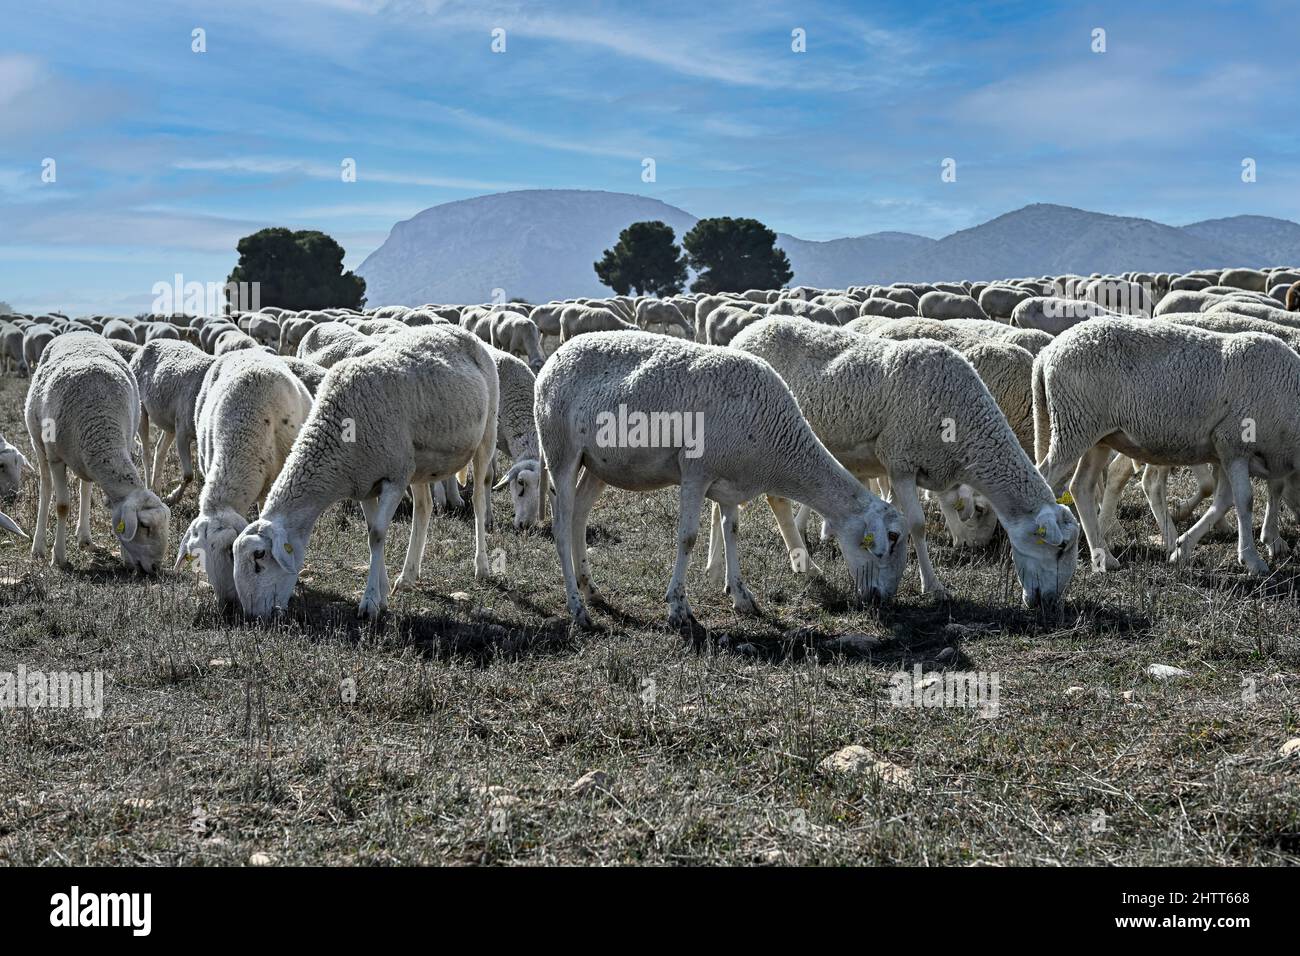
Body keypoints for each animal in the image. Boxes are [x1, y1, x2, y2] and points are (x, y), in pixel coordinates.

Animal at [23, 332, 170, 572]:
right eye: (144, 526)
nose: (156, 569)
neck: (102, 424)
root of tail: (77, 332)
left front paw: (126, 558)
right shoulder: (56, 458)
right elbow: (62, 506)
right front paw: (59, 557)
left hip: (82, 457)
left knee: (85, 489)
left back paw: (84, 537)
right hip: (39, 444)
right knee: (45, 488)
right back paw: (39, 547)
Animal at [130, 338, 214, 504]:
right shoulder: (183, 432)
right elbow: (188, 475)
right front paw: (173, 497)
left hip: (170, 424)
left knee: (160, 450)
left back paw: (156, 489)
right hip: (142, 410)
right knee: (146, 453)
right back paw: (149, 488)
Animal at [231, 325, 499, 624]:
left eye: (259, 556)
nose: (253, 616)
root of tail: (458, 330)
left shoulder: (394, 478)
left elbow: (378, 535)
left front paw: (369, 602)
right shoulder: (365, 483)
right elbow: (371, 531)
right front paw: (381, 594)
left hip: (486, 434)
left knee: (478, 500)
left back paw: (482, 566)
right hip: (417, 464)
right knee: (424, 507)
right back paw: (408, 576)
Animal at [533, 327, 909, 629]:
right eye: (891, 538)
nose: (884, 600)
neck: (776, 441)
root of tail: (558, 353)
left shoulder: (731, 484)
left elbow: (733, 531)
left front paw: (741, 596)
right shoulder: (695, 472)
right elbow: (687, 538)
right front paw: (678, 607)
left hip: (600, 464)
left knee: (579, 516)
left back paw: (591, 590)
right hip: (560, 450)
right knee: (561, 527)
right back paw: (577, 608)